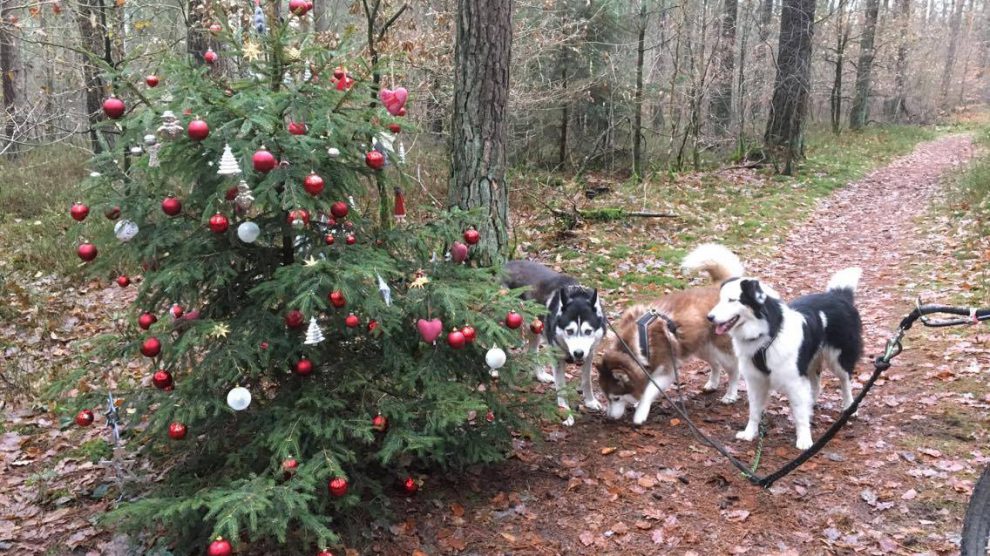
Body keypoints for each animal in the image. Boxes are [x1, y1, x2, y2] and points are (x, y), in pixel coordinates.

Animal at [508, 260, 608, 426]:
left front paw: (590, 402)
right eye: (569, 331)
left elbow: (587, 381)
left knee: (532, 351)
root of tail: (504, 265)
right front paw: (566, 413)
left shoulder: (589, 354)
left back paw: (541, 375)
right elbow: (561, 388)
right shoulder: (557, 359)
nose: (578, 353)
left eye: (588, 331)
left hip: (536, 327)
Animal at [596, 244, 744, 426]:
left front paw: (640, 412)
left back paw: (730, 395)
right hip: (699, 346)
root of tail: (718, 288)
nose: (609, 418)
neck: (638, 344)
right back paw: (712, 384)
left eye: (616, 398)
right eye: (606, 397)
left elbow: (649, 390)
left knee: (734, 371)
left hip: (721, 349)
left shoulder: (667, 370)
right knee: (715, 364)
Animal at [708, 268, 864, 450]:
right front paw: (750, 433)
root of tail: (838, 295)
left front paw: (804, 440)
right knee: (816, 384)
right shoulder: (755, 381)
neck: (767, 334)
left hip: (838, 358)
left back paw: (849, 408)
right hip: (810, 362)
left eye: (732, 300)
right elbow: (754, 410)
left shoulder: (794, 381)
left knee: (845, 382)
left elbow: (800, 414)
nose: (709, 317)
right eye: (720, 299)